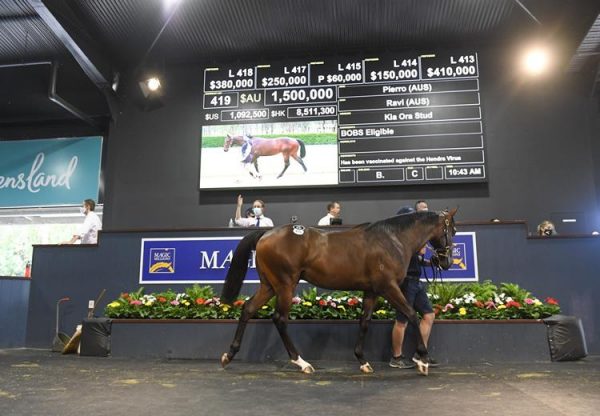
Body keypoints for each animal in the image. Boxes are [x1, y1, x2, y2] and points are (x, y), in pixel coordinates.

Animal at [220, 210, 460, 376]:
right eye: (452, 231)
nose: (446, 262)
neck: (391, 240)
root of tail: (267, 233)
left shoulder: (372, 291)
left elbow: (364, 322)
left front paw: (363, 361)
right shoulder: (388, 287)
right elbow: (411, 314)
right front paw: (423, 360)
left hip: (270, 285)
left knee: (248, 309)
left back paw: (228, 355)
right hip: (285, 285)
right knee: (279, 319)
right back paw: (302, 363)